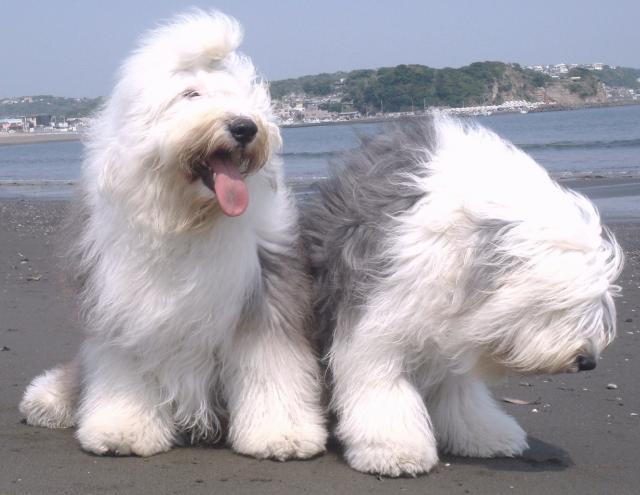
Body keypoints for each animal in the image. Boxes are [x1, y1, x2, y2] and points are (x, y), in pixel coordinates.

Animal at [19, 10, 327, 460]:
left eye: (241, 97)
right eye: (190, 94)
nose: (244, 127)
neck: (187, 218)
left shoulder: (265, 293)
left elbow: (271, 365)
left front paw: (280, 434)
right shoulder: (122, 305)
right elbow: (123, 370)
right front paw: (122, 430)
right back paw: (46, 400)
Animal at [301, 115, 623, 477]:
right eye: (562, 305)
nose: (588, 362)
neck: (465, 247)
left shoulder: (453, 336)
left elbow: (461, 394)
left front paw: (485, 434)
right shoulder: (376, 318)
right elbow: (381, 384)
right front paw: (394, 449)